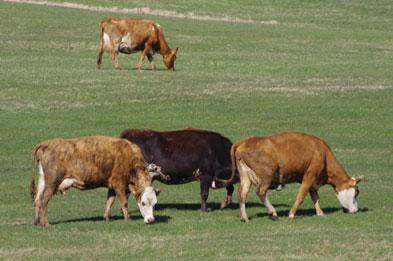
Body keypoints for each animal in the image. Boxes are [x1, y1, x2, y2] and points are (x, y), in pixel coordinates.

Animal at [29, 135, 160, 224]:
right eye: (143, 203)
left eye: (154, 204)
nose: (151, 220)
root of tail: (47, 143)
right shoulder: (118, 183)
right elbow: (124, 202)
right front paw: (128, 219)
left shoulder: (111, 185)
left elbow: (109, 201)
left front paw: (107, 218)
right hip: (52, 182)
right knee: (44, 200)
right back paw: (45, 223)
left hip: (43, 181)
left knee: (37, 199)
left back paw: (36, 222)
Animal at [219, 132, 360, 221]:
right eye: (355, 193)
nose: (355, 210)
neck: (323, 154)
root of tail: (243, 142)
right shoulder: (310, 175)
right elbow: (301, 196)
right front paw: (291, 214)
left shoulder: (314, 181)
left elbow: (315, 197)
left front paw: (320, 213)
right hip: (266, 175)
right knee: (261, 192)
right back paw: (273, 213)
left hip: (246, 175)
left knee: (242, 193)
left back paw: (244, 217)